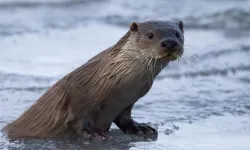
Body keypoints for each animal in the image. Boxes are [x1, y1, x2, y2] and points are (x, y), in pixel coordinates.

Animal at [1, 19, 185, 141]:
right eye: (150, 35)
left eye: (177, 34)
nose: (170, 42)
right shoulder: (79, 93)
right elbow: (77, 117)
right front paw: (93, 133)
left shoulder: (127, 102)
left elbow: (125, 119)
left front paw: (140, 128)